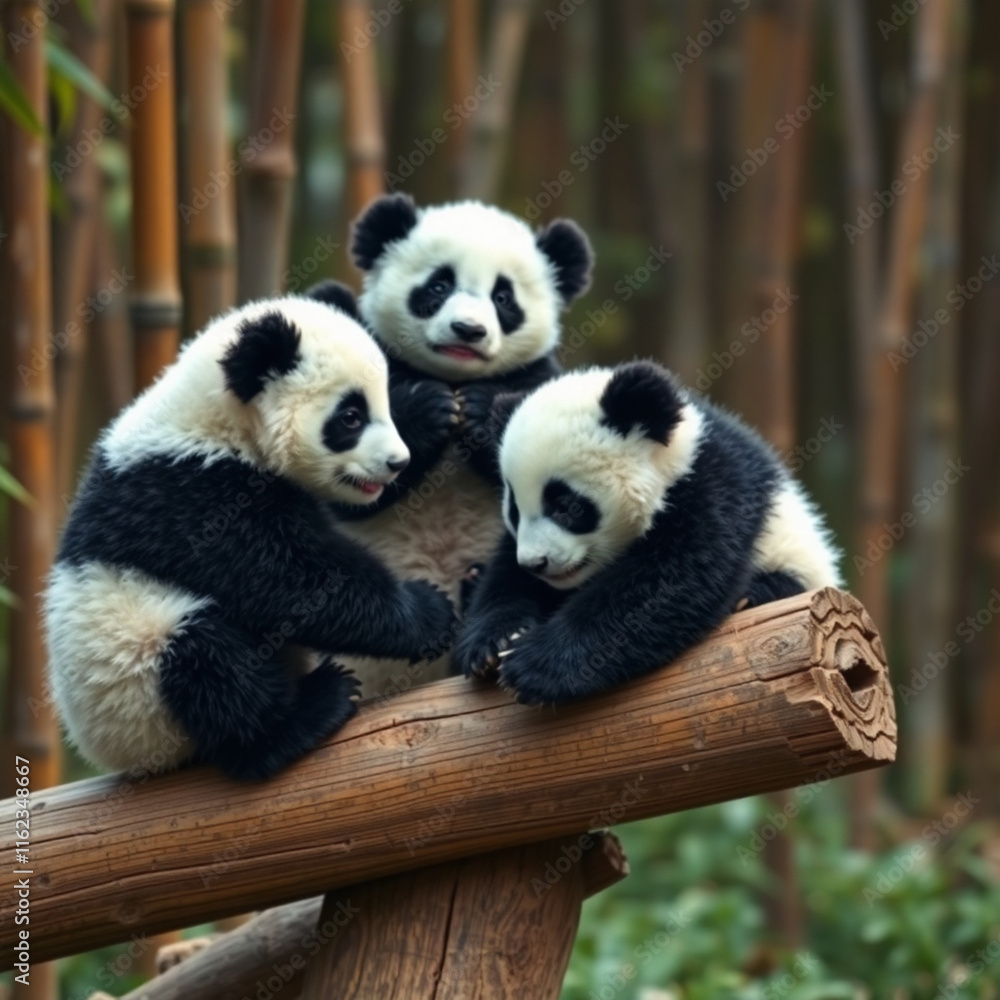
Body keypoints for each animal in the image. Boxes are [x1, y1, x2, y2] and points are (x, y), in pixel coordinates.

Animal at [44, 294, 455, 781]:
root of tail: (118, 759)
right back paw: (305, 714)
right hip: (131, 669)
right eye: (350, 418)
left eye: (384, 406)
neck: (217, 421)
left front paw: (430, 412)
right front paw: (429, 612)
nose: (395, 462)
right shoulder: (197, 494)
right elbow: (287, 579)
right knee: (207, 660)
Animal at [311, 194, 594, 696]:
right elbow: (351, 492)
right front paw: (429, 410)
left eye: (503, 298)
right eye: (439, 286)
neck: (456, 377)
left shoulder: (541, 379)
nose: (468, 330)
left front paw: (480, 413)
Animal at [453, 360, 843, 705]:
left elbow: (672, 582)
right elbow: (504, 573)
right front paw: (495, 640)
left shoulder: (715, 487)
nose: (536, 563)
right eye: (514, 510)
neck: (675, 455)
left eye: (567, 506)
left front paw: (534, 664)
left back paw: (752, 595)